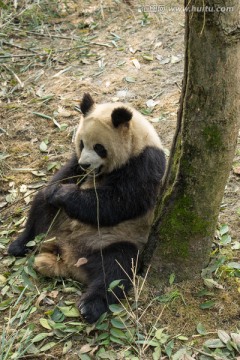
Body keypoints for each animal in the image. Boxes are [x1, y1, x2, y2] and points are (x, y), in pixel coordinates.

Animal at [9, 93, 167, 324]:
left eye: (99, 147)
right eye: (82, 144)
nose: (86, 165)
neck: (138, 141)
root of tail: (66, 255)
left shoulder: (145, 164)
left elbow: (117, 203)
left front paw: (63, 193)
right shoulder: (76, 163)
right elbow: (64, 175)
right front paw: (56, 189)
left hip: (109, 241)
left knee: (116, 266)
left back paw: (90, 306)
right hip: (55, 224)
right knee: (39, 208)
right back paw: (19, 245)